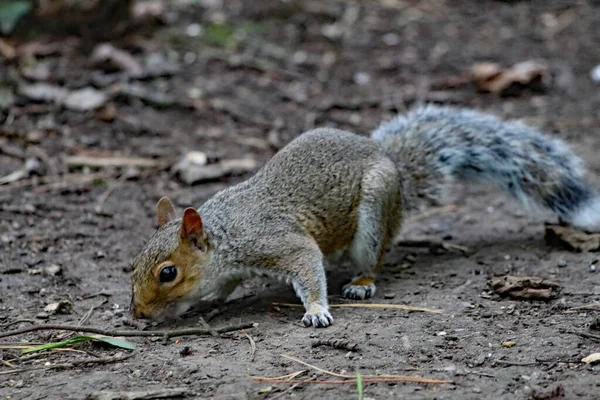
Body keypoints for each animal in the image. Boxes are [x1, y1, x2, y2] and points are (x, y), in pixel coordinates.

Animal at [129, 104, 596, 326]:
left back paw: (362, 282)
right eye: (133, 264)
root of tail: (396, 172)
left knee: (373, 255)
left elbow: (307, 265)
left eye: (168, 273)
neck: (224, 235)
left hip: (373, 214)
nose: (137, 315)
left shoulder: (277, 241)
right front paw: (204, 303)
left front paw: (317, 310)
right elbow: (222, 287)